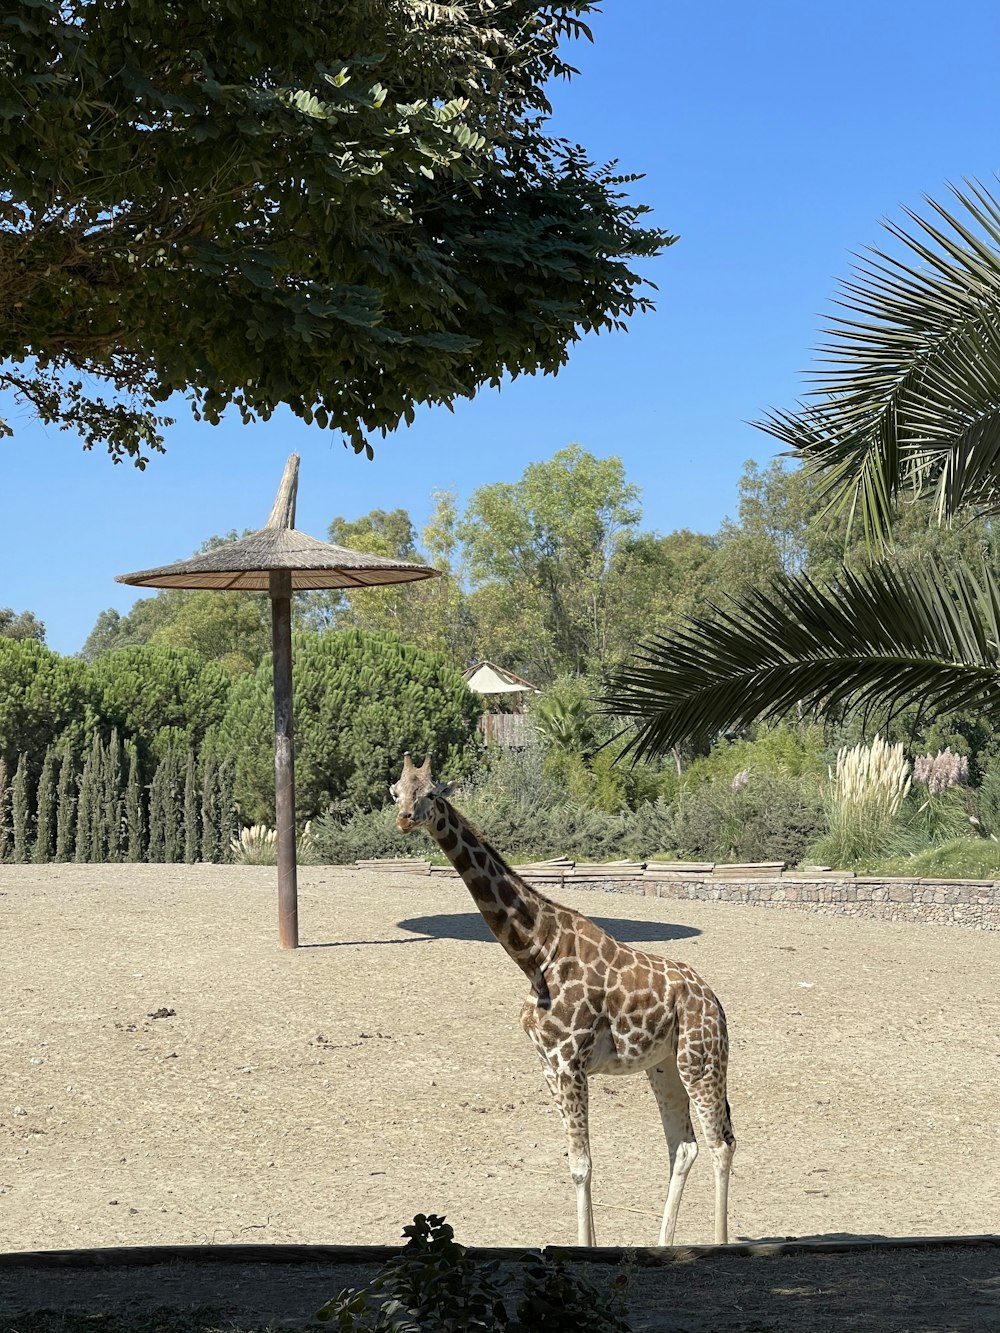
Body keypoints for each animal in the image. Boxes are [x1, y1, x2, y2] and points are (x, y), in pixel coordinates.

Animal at [392, 757, 736, 1242]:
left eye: (430, 793)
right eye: (396, 790)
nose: (404, 818)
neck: (537, 951)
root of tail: (715, 1002)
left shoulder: (570, 1062)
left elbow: (582, 1166)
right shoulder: (548, 1064)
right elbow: (576, 1164)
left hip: (700, 1060)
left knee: (720, 1143)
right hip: (663, 1065)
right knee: (683, 1146)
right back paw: (664, 1242)